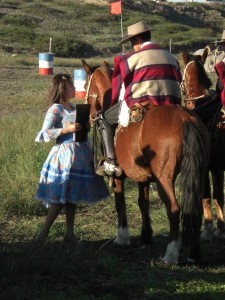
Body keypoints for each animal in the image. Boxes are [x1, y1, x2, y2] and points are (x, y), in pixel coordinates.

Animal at [81, 58, 209, 262]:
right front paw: (145, 234)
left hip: (164, 179)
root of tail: (186, 119)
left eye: (86, 86)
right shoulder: (142, 176)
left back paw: (171, 253)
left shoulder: (118, 177)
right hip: (199, 173)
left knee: (174, 208)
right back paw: (194, 252)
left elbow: (120, 202)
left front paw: (122, 237)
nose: (90, 118)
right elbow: (143, 202)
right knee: (196, 208)